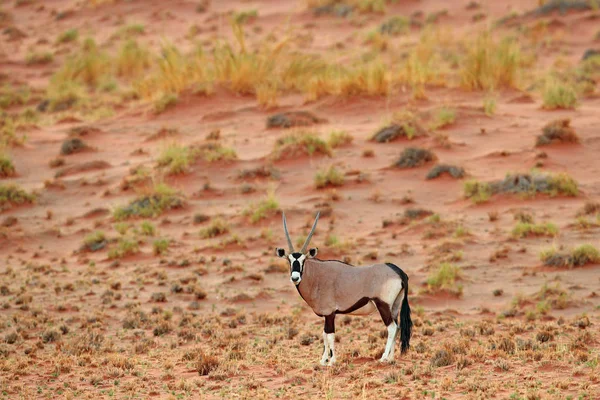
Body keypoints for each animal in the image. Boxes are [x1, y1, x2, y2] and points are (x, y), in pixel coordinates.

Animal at [276, 212, 412, 366]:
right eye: (289, 261)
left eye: (303, 261)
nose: (295, 278)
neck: (317, 276)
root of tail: (398, 271)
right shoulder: (327, 315)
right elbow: (324, 334)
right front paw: (323, 360)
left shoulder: (330, 313)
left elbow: (330, 335)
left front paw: (331, 361)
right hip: (394, 306)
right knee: (397, 327)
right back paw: (391, 358)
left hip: (383, 305)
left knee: (392, 327)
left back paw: (383, 357)